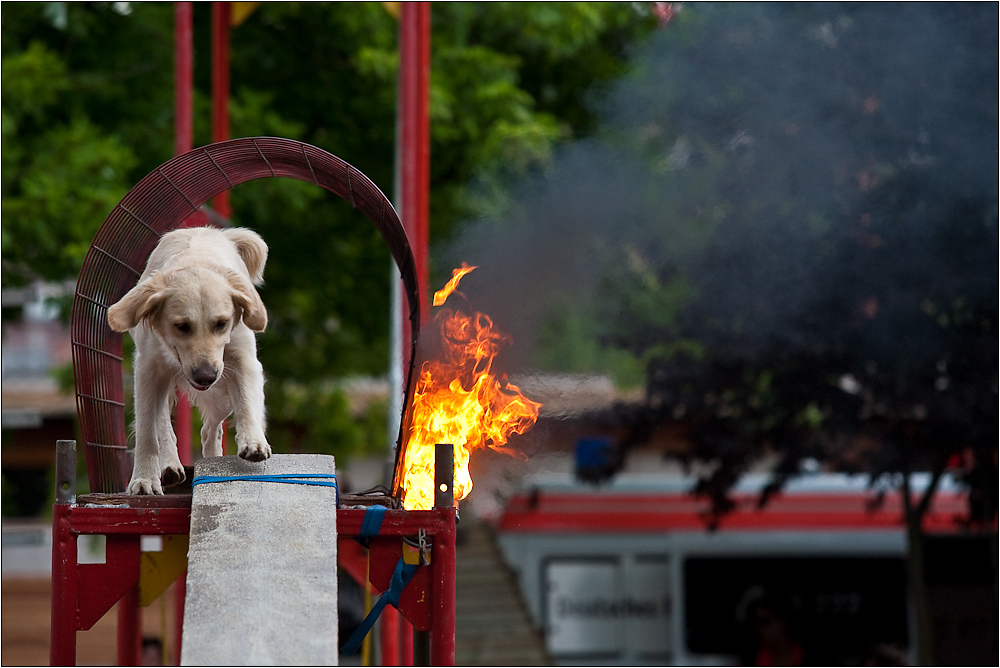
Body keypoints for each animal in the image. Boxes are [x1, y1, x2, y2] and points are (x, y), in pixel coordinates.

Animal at [109, 227, 272, 494]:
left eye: (221, 323)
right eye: (182, 326)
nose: (205, 376)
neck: (197, 262)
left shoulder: (244, 361)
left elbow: (248, 403)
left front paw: (254, 441)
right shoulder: (147, 370)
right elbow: (147, 432)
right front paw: (144, 479)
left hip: (221, 396)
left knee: (209, 430)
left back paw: (213, 458)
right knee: (163, 425)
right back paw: (170, 466)